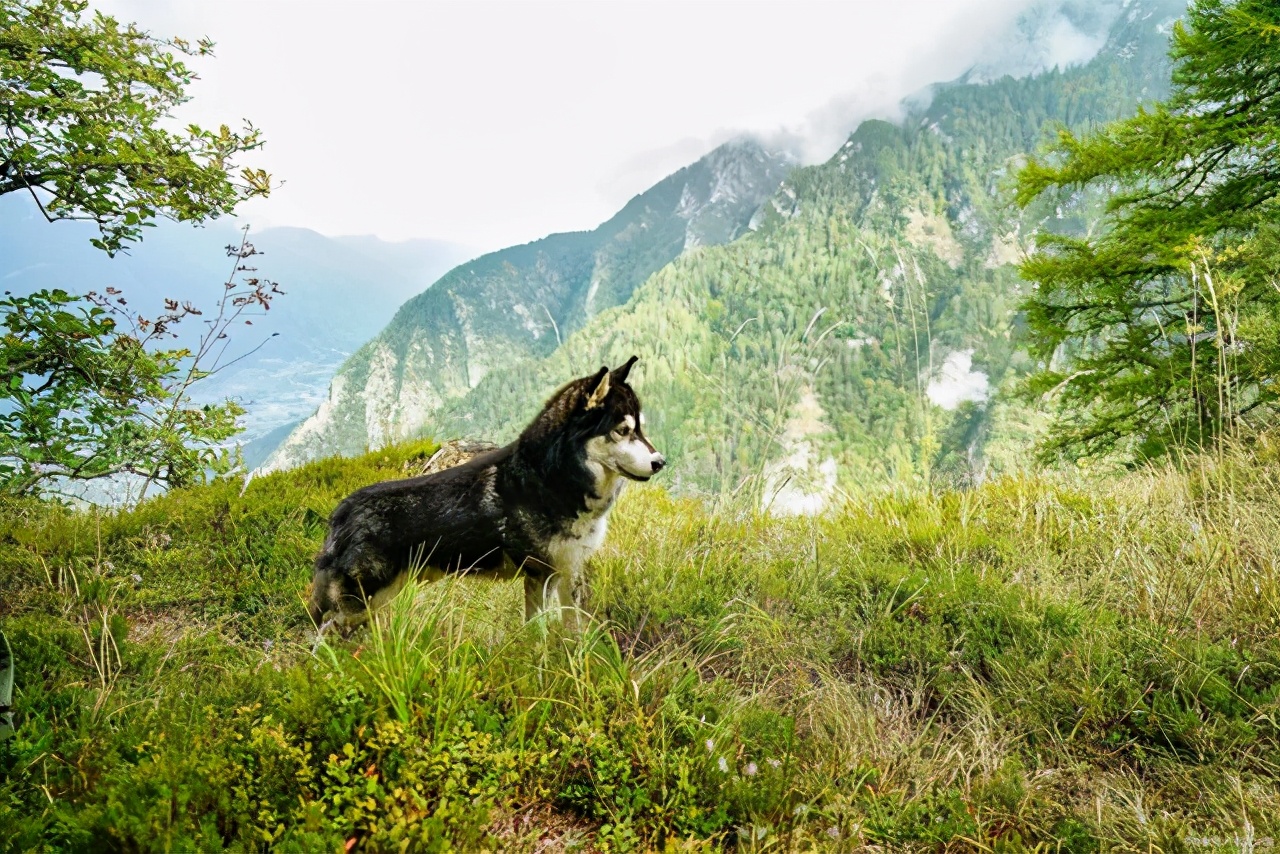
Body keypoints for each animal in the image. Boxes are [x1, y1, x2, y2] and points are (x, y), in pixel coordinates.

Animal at [307, 355, 660, 635]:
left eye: (641, 429)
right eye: (623, 431)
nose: (660, 462)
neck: (549, 479)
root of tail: (342, 512)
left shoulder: (567, 571)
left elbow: (572, 630)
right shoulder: (539, 575)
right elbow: (539, 633)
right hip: (359, 605)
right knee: (321, 636)